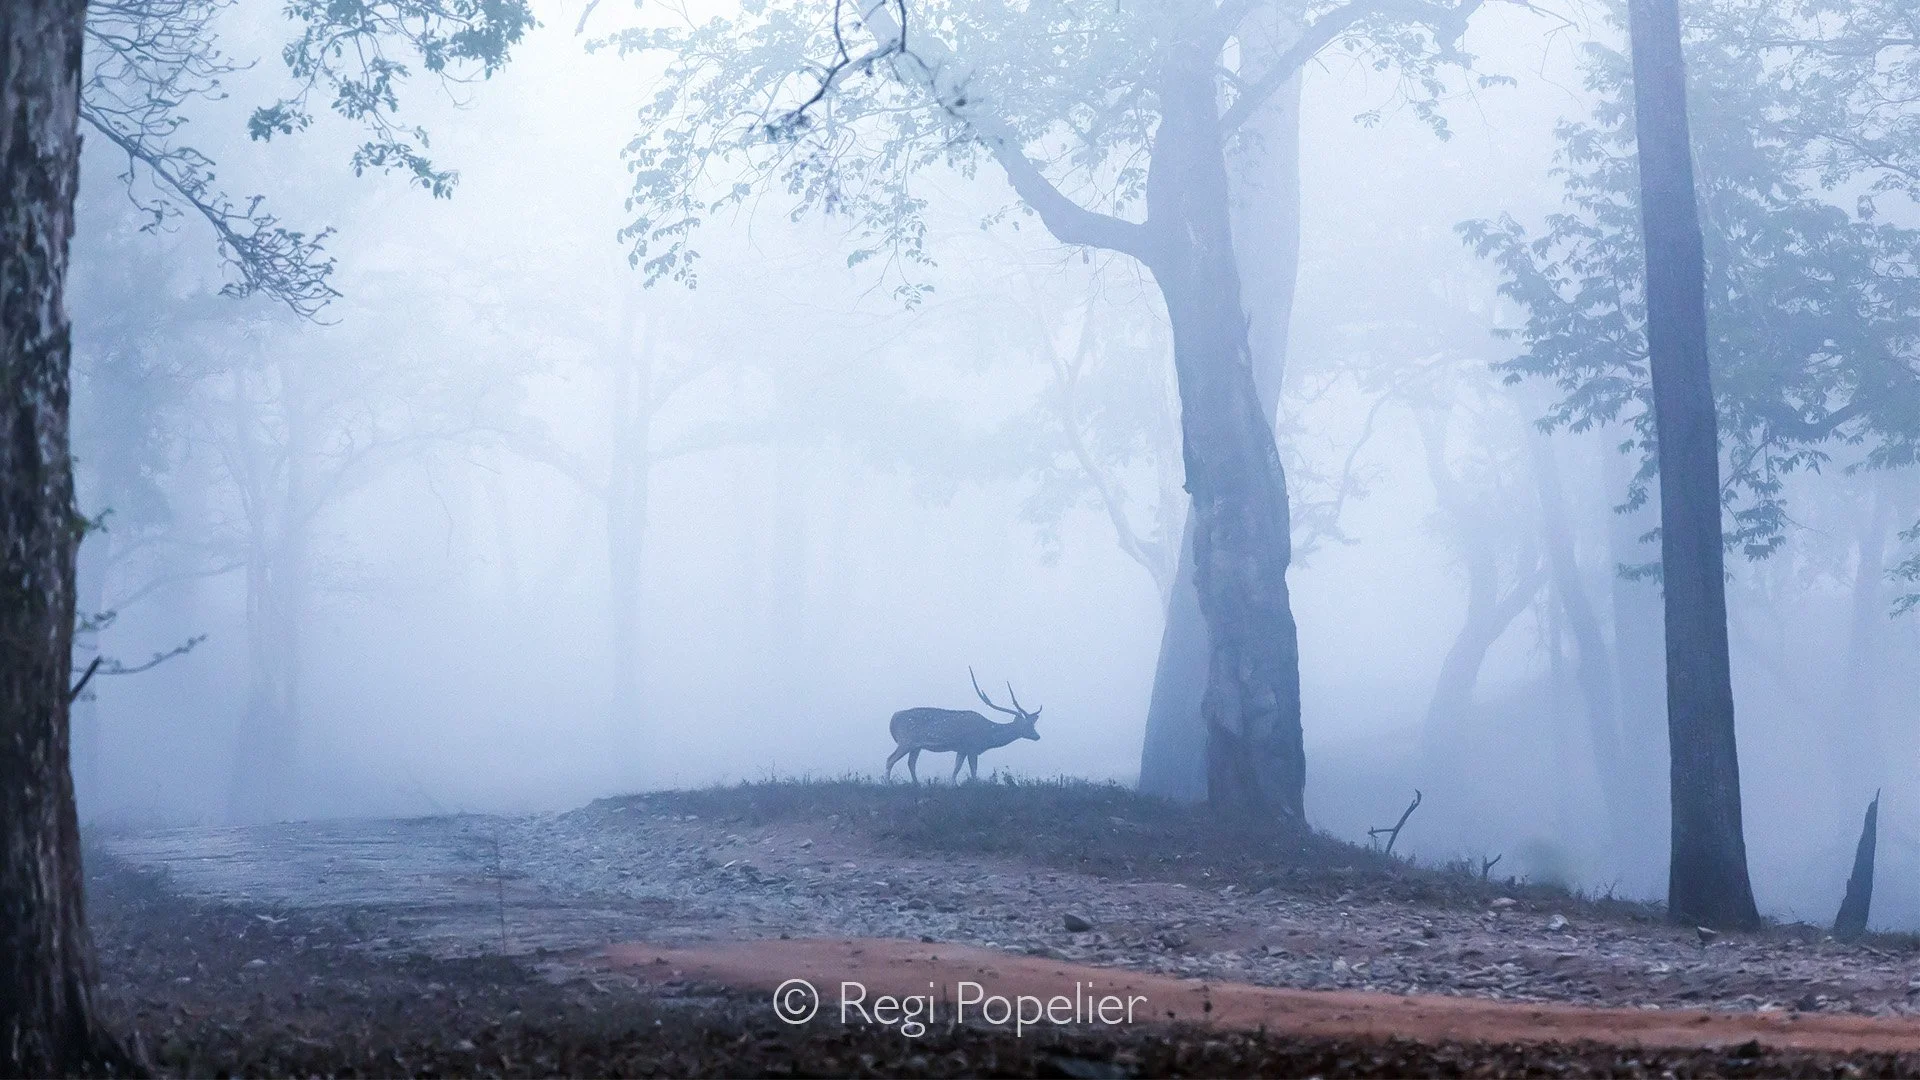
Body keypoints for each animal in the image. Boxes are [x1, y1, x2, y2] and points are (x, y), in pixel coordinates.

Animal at [885, 668, 1041, 784]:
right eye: (1028, 725)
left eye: (1034, 725)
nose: (1037, 736)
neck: (988, 737)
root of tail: (893, 719)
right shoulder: (972, 747)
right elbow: (973, 771)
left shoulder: (962, 749)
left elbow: (956, 768)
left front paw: (953, 784)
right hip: (906, 740)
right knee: (890, 759)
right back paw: (888, 783)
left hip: (916, 746)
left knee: (911, 763)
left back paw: (917, 784)